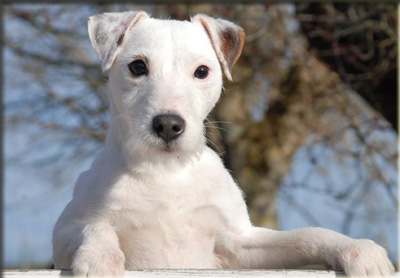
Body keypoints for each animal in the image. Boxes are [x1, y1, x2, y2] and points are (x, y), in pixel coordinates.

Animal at [51, 10, 396, 276]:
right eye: (137, 67)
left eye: (202, 71)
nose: (168, 125)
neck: (166, 170)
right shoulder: (64, 233)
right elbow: (95, 227)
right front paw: (100, 259)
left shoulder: (239, 243)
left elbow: (308, 235)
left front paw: (359, 249)